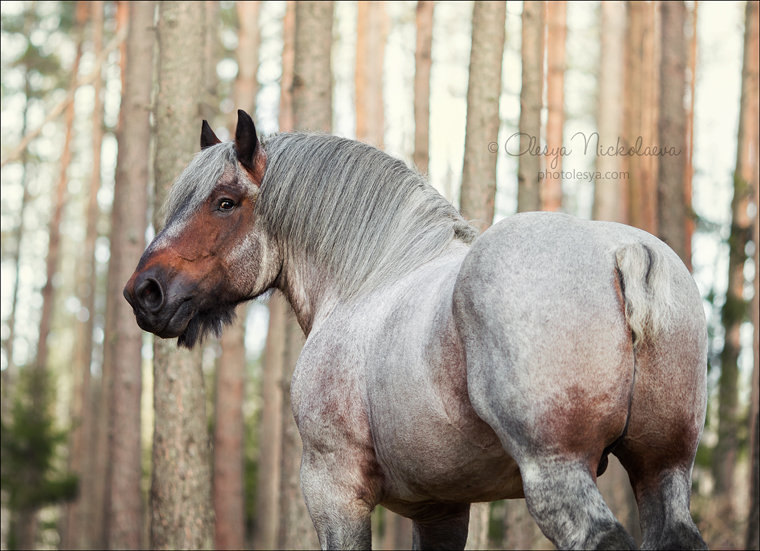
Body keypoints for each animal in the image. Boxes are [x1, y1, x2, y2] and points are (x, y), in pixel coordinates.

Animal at [121, 110, 708, 548]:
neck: (367, 277)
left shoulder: (334, 491)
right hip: (663, 471)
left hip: (556, 471)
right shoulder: (440, 507)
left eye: (224, 202)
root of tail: (622, 252)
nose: (143, 292)